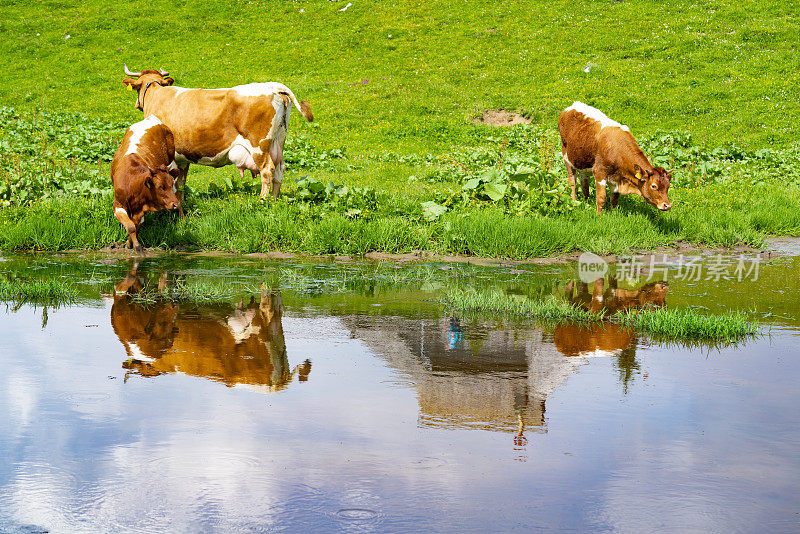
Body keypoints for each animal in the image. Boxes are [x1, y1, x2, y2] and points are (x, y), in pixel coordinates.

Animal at [111, 115, 180, 253]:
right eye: (160, 187)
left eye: (170, 183)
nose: (175, 204)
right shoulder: (118, 205)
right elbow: (131, 226)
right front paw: (134, 245)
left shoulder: (142, 209)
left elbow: (136, 226)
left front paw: (132, 244)